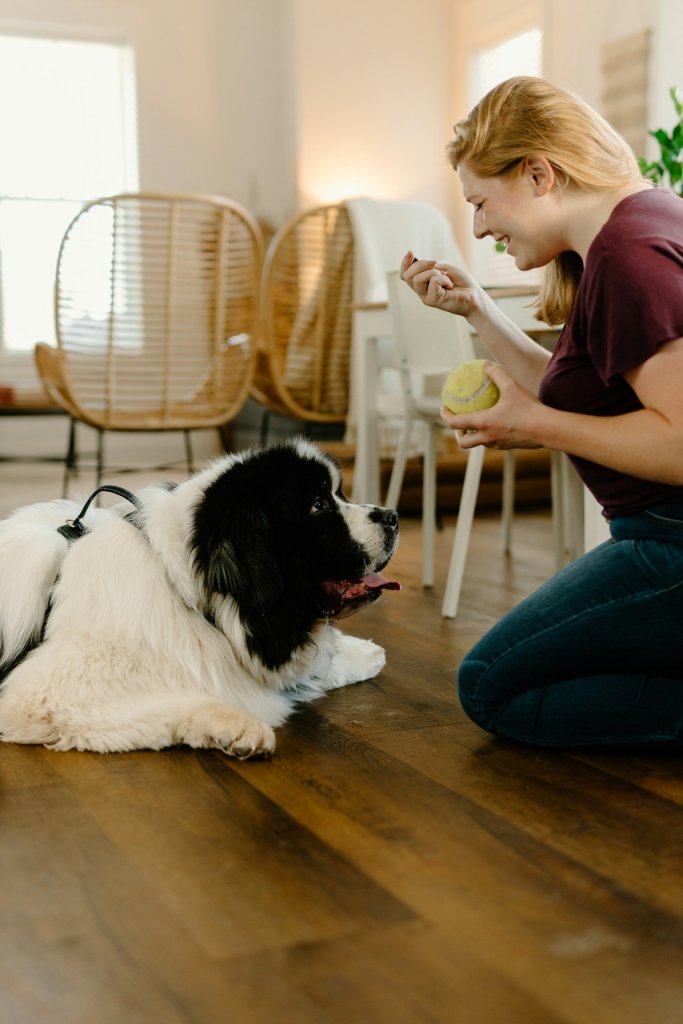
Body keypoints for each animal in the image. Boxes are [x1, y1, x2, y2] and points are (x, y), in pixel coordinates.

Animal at [0, 440, 401, 761]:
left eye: (340, 496)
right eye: (318, 505)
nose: (393, 516)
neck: (186, 590)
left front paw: (363, 653)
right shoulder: (42, 696)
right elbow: (181, 698)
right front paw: (238, 727)